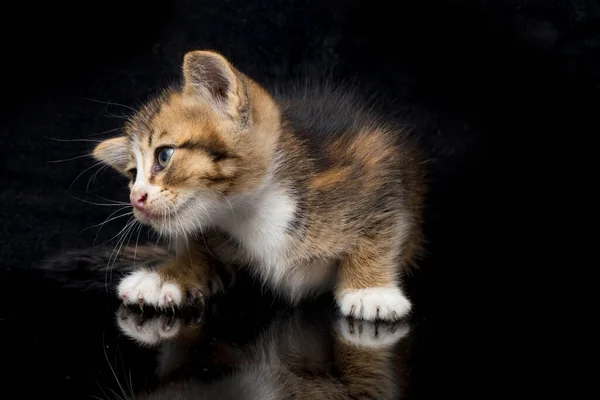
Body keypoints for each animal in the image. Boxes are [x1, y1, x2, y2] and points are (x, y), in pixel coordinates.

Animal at [91, 49, 424, 322]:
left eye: (164, 155)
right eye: (133, 174)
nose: (136, 198)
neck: (254, 210)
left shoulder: (377, 162)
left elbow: (382, 228)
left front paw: (370, 290)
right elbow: (196, 249)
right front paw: (168, 276)